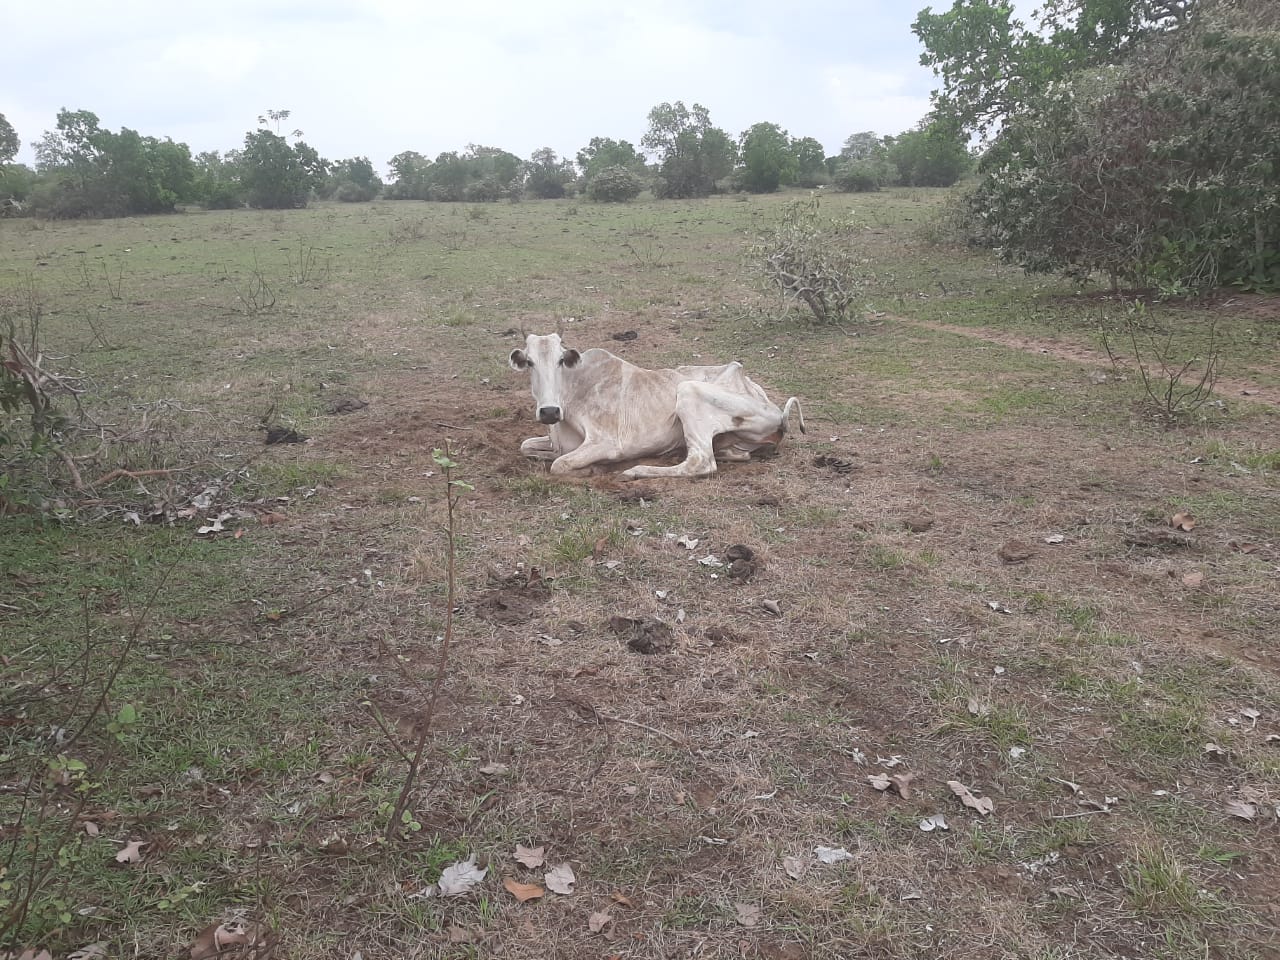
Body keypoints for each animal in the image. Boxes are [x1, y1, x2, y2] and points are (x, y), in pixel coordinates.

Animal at [506, 335, 798, 481]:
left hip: (688, 393)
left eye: (560, 360)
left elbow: (559, 464)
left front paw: (593, 469)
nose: (549, 411)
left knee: (701, 462)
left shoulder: (607, 442)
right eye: (529, 362)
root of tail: (777, 412)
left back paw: (636, 471)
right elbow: (526, 447)